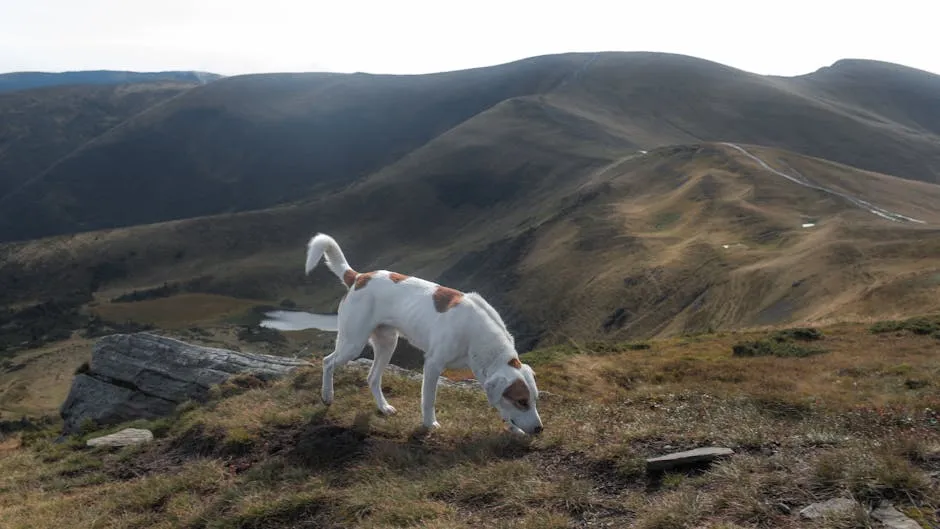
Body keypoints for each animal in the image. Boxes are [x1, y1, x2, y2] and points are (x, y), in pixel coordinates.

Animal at [304, 233, 544, 436]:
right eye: (522, 401)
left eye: (534, 400)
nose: (539, 429)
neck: (478, 335)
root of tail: (359, 277)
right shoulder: (433, 365)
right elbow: (429, 399)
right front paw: (429, 424)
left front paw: (514, 430)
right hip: (353, 342)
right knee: (328, 362)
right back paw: (327, 396)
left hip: (387, 344)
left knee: (372, 378)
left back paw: (383, 407)